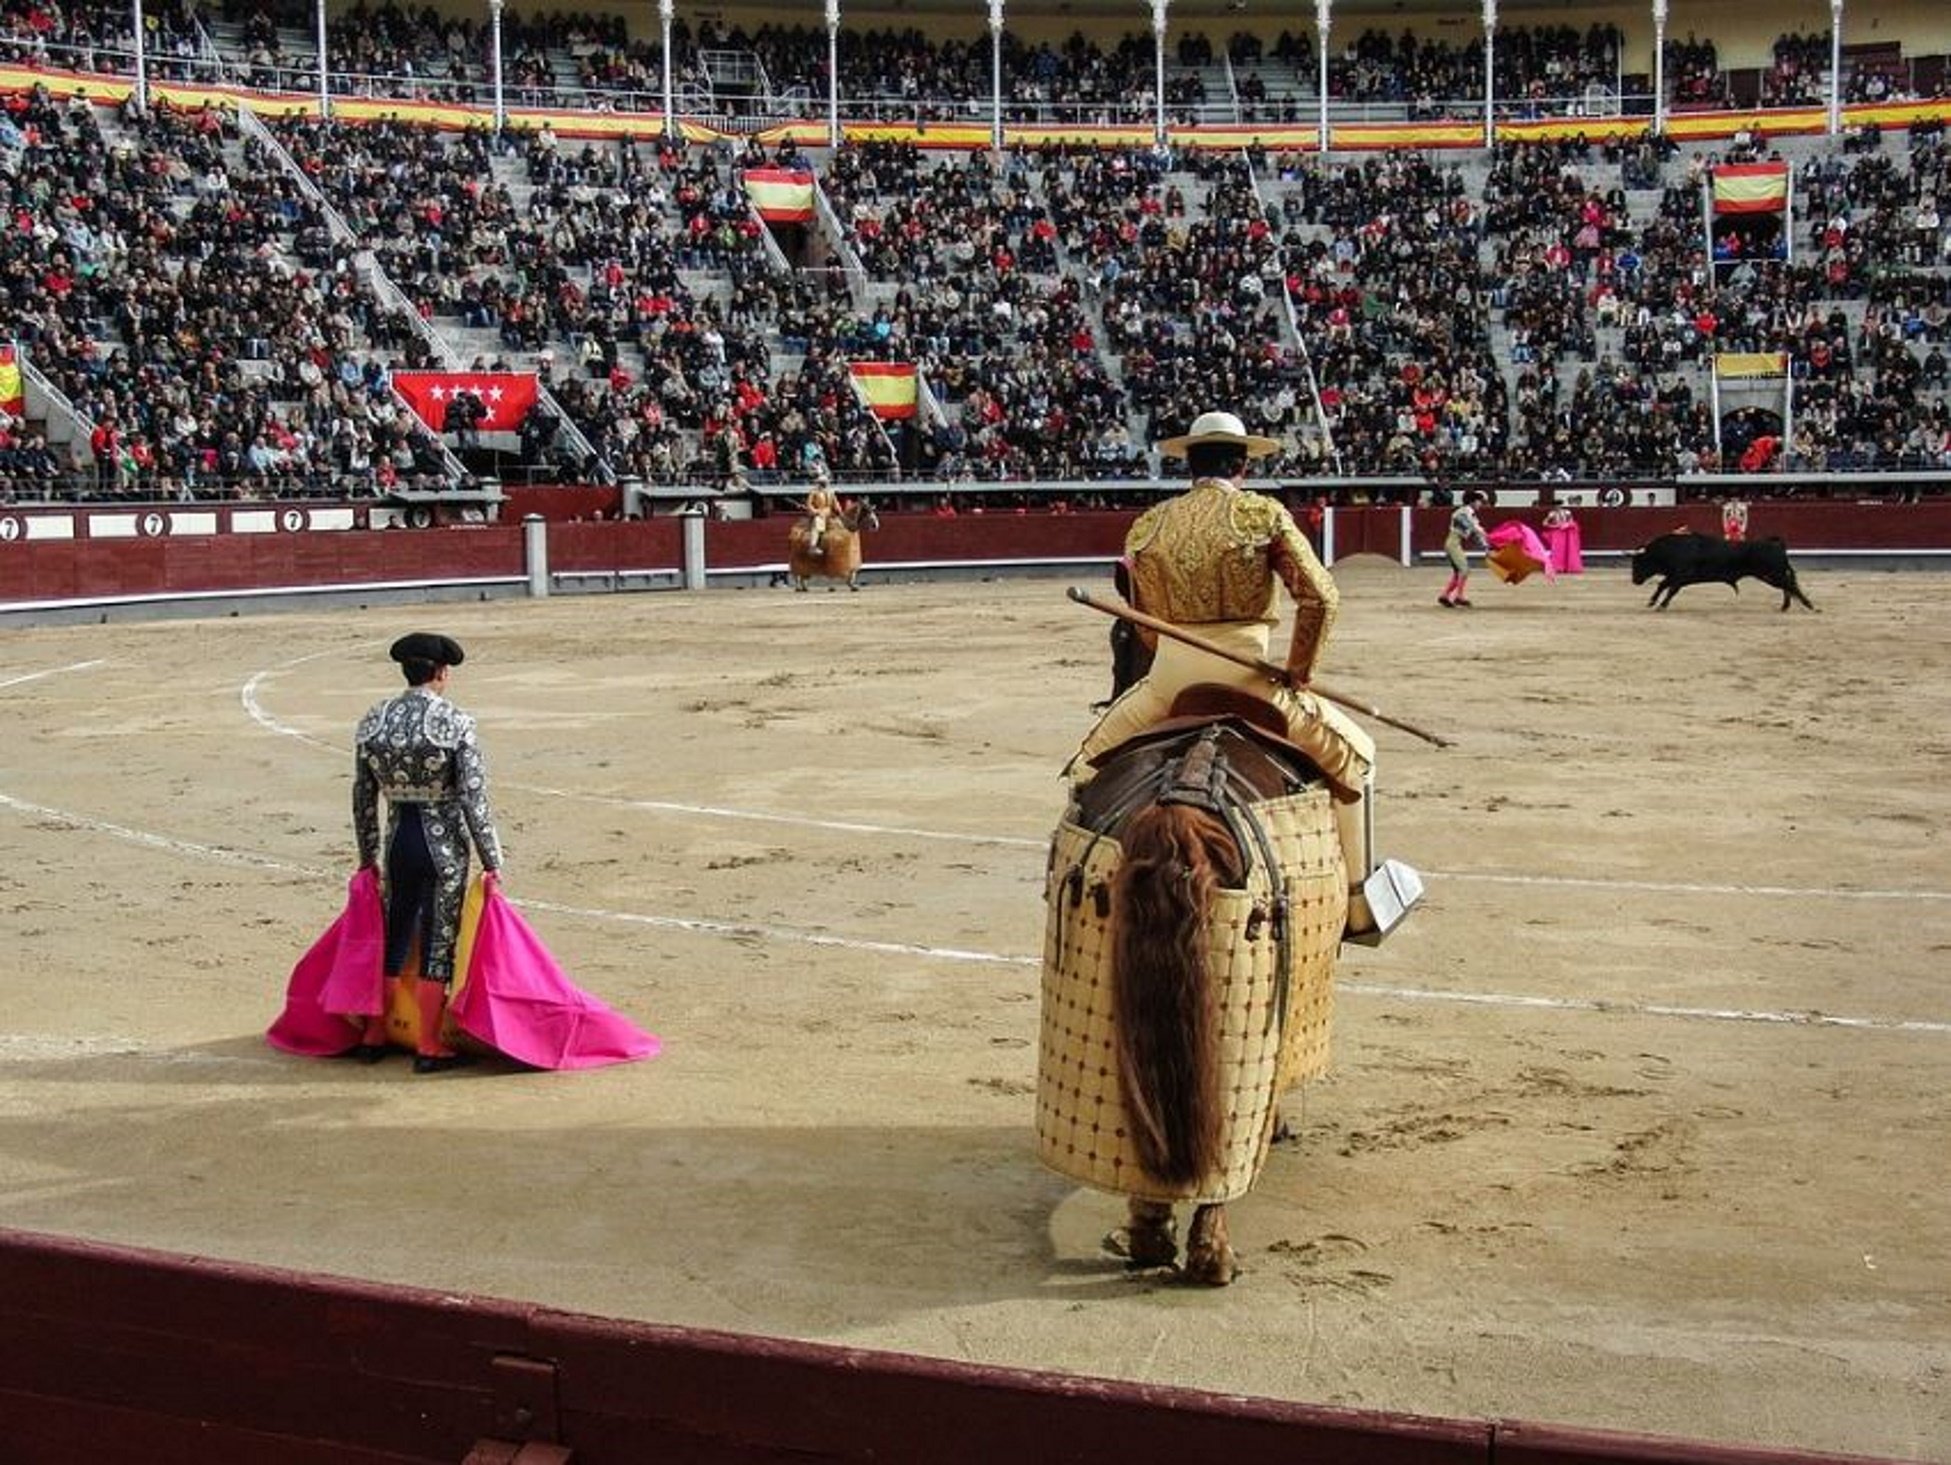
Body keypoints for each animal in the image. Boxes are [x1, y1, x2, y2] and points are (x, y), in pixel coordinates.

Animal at [1623, 534, 1818, 612]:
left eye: (1638, 562)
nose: (1635, 580)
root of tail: (1775, 544)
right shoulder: (1675, 576)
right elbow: (1662, 585)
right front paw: (1652, 602)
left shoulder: (1681, 576)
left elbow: (1670, 589)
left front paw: (1661, 606)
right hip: (1770, 575)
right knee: (1787, 587)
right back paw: (1785, 607)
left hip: (1772, 574)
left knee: (1790, 586)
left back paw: (1810, 606)